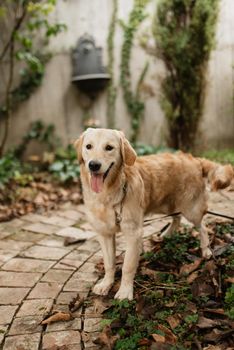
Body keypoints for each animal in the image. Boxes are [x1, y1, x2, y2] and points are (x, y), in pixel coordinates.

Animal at [74, 127, 233, 300]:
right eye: (88, 146)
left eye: (109, 147)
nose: (93, 165)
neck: (109, 193)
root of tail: (194, 159)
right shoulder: (104, 233)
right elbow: (109, 264)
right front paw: (106, 284)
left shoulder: (133, 233)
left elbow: (127, 266)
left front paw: (124, 292)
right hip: (167, 204)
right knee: (177, 218)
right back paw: (166, 235)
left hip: (191, 209)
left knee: (202, 227)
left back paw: (206, 250)